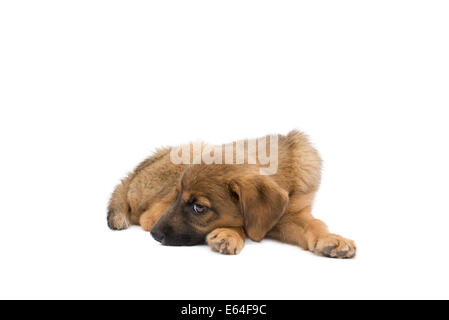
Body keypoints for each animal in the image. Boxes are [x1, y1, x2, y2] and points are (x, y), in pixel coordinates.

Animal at [107, 130, 356, 258]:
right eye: (179, 197)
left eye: (199, 208)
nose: (156, 236)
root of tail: (132, 176)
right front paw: (229, 234)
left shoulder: (292, 215)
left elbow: (315, 225)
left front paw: (332, 239)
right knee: (148, 217)